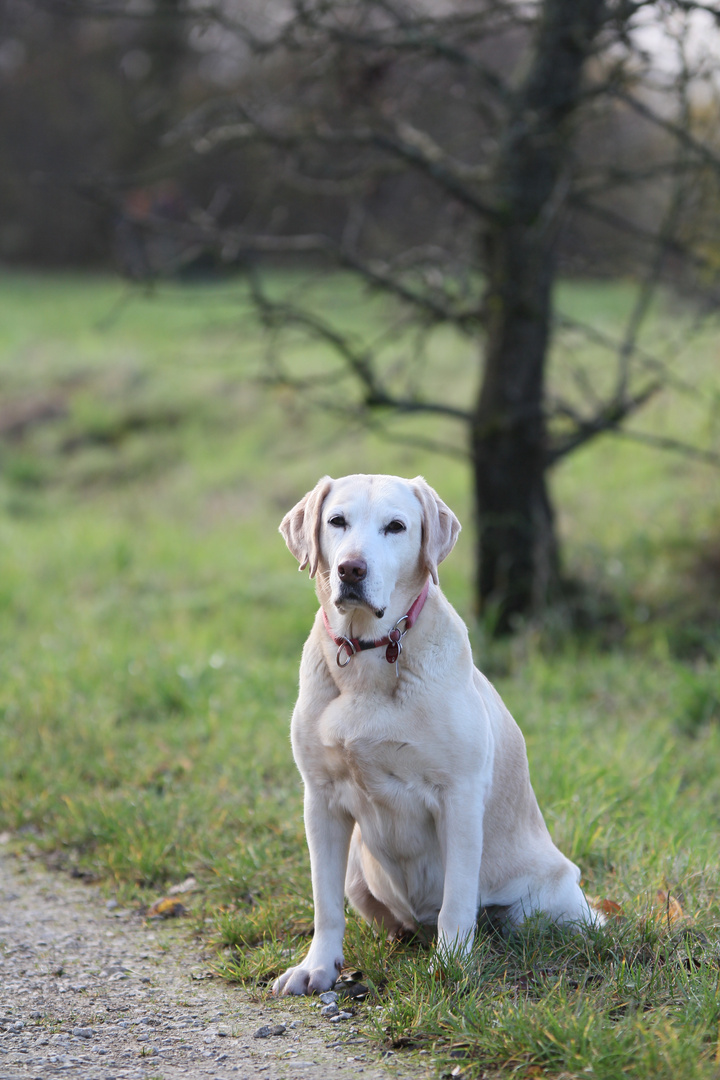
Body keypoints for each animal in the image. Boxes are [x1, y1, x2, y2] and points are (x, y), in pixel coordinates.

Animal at [272, 473, 595, 993]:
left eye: (396, 526)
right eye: (336, 520)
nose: (350, 569)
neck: (369, 655)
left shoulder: (458, 797)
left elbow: (457, 900)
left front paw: (452, 966)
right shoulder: (319, 799)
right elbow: (325, 905)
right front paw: (317, 967)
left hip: (550, 904)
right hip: (358, 876)